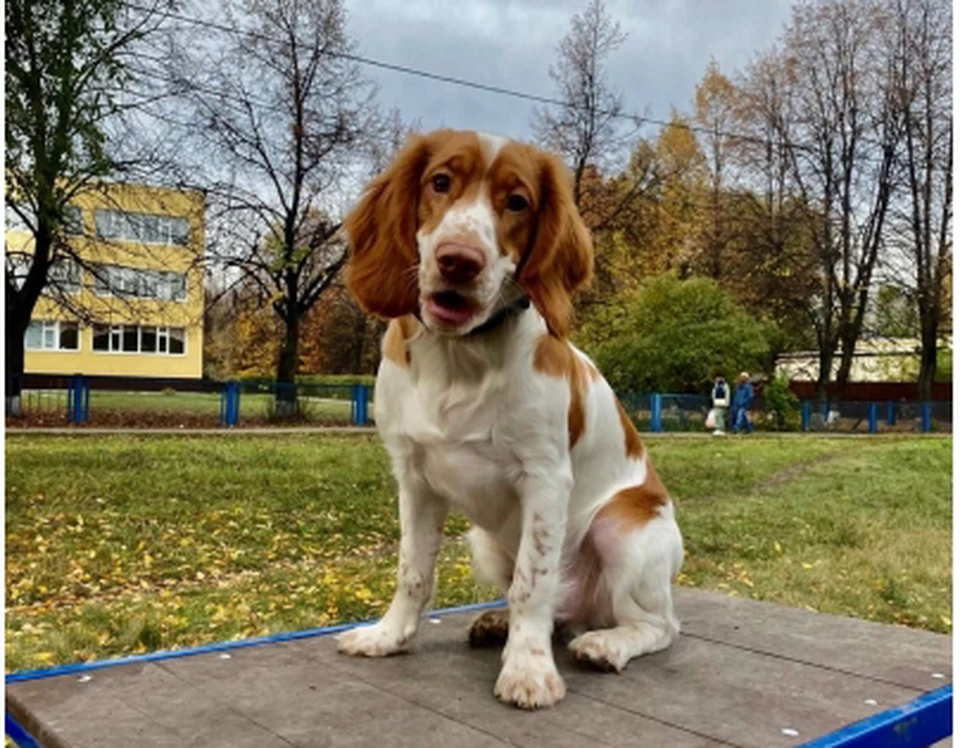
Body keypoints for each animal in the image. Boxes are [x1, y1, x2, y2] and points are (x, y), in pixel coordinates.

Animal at [336, 130, 684, 712]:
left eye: (517, 202)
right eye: (440, 182)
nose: (459, 260)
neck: (460, 357)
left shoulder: (545, 479)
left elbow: (532, 581)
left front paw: (528, 669)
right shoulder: (414, 478)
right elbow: (413, 570)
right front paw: (389, 636)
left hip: (621, 529)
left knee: (657, 624)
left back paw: (605, 644)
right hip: (484, 540)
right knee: (560, 613)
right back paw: (500, 623)